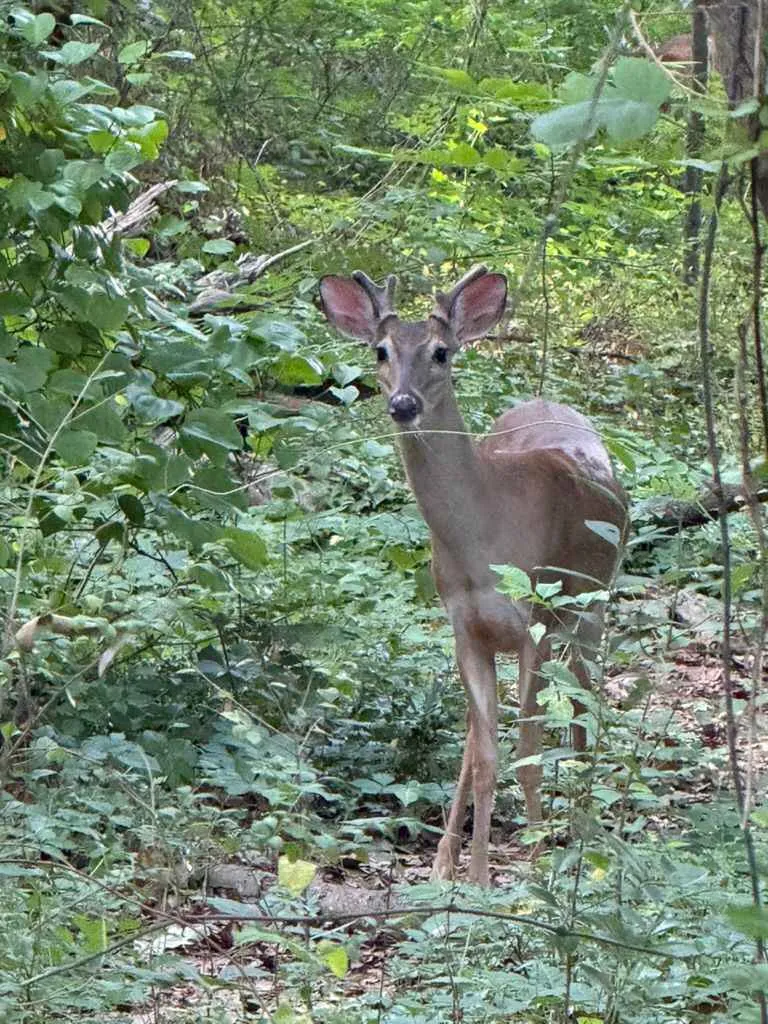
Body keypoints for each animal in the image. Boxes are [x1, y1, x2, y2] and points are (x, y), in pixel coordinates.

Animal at [319, 266, 627, 885]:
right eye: (380, 350)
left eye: (441, 351)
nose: (403, 404)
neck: (483, 536)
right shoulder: (463, 625)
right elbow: (483, 752)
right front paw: (473, 873)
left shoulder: (533, 616)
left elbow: (528, 746)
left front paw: (533, 861)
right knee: (486, 729)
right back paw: (451, 856)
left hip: (590, 606)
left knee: (586, 700)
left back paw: (581, 826)